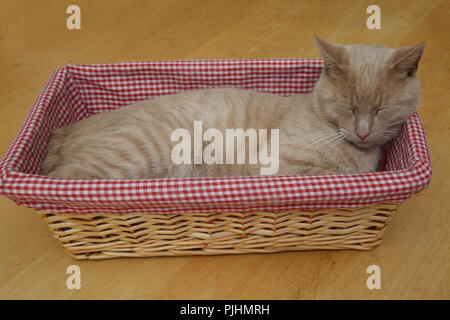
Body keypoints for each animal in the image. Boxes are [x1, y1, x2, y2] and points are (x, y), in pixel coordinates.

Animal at [40, 37, 424, 180]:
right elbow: (324, 174)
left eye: (382, 109)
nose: (363, 131)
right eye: (348, 107)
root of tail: (64, 131)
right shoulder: (281, 167)